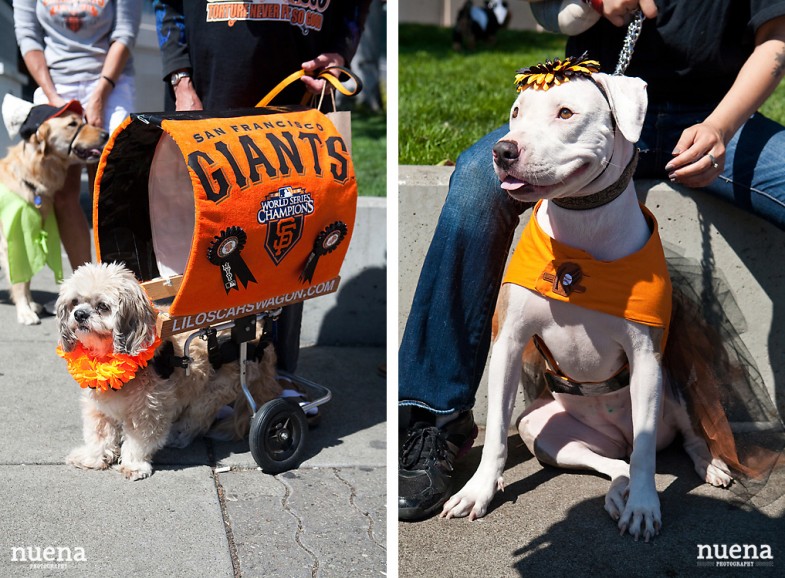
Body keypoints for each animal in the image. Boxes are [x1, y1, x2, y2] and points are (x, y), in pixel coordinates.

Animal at [0, 99, 108, 324]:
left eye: (83, 120)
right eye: (72, 124)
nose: (105, 134)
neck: (28, 176)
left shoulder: (29, 234)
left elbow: (27, 278)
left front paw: (31, 304)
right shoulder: (14, 240)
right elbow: (20, 280)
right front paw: (25, 311)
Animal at [56, 260, 282, 476]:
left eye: (103, 306)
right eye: (75, 302)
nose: (80, 314)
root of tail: (262, 340)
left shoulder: (148, 408)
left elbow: (138, 439)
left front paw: (134, 465)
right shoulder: (99, 407)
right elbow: (99, 435)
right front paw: (92, 458)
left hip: (211, 392)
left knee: (198, 420)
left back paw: (178, 435)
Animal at [438, 57, 732, 540]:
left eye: (565, 113)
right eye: (516, 112)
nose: (503, 150)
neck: (582, 232)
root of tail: (617, 435)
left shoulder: (646, 356)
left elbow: (648, 454)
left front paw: (645, 508)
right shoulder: (509, 341)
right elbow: (496, 431)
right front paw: (477, 491)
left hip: (676, 389)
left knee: (677, 440)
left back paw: (709, 466)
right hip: (543, 429)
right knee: (614, 463)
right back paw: (618, 489)